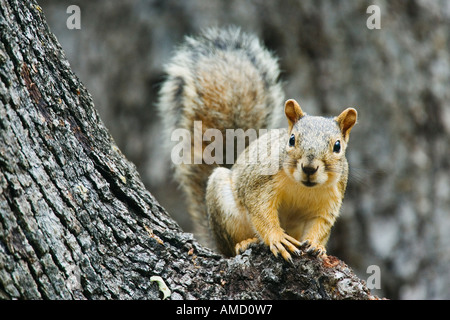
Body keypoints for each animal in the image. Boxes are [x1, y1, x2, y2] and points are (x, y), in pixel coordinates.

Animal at [158, 26, 358, 262]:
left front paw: (317, 246)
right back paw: (244, 243)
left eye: (337, 146)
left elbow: (321, 224)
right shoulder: (261, 182)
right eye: (291, 140)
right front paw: (277, 238)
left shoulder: (331, 199)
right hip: (223, 203)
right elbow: (261, 211)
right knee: (231, 246)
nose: (309, 168)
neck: (302, 187)